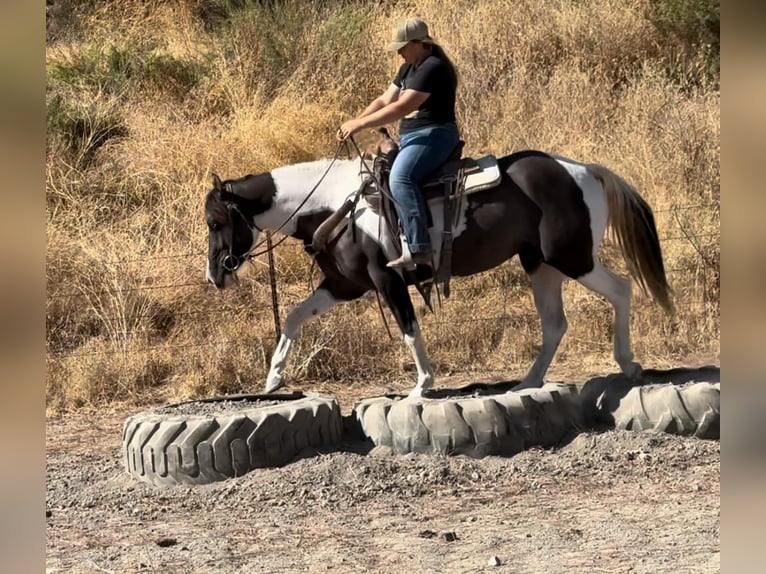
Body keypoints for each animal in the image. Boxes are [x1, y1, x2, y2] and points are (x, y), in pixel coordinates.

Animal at [204, 133, 673, 399]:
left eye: (215, 222)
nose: (215, 274)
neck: (336, 202)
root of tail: (584, 170)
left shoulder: (386, 279)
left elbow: (410, 329)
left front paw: (422, 384)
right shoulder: (343, 285)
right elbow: (293, 319)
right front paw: (274, 380)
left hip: (572, 258)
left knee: (621, 290)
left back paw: (628, 364)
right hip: (540, 265)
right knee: (555, 324)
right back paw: (528, 382)